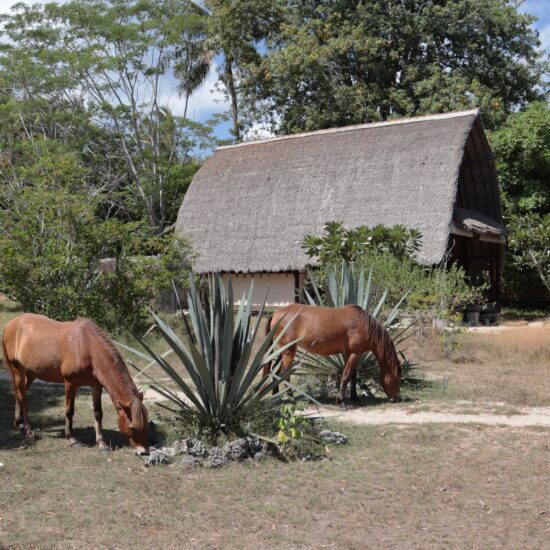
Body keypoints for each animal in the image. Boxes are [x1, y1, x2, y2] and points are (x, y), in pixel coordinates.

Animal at [2, 314, 150, 458]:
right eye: (132, 427)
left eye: (146, 423)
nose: (143, 452)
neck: (86, 347)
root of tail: (10, 325)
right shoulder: (70, 383)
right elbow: (69, 411)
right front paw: (72, 439)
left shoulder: (96, 385)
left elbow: (98, 413)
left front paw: (101, 444)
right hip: (18, 371)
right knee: (22, 395)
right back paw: (28, 429)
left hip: (31, 373)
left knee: (19, 393)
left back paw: (19, 422)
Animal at [266, 304, 404, 408]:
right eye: (397, 377)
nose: (398, 398)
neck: (364, 324)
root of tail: (276, 313)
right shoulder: (353, 354)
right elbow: (346, 376)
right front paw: (341, 402)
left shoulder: (351, 354)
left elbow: (353, 376)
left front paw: (354, 397)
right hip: (288, 351)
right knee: (284, 374)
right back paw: (290, 398)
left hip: (283, 352)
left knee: (275, 373)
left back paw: (277, 398)